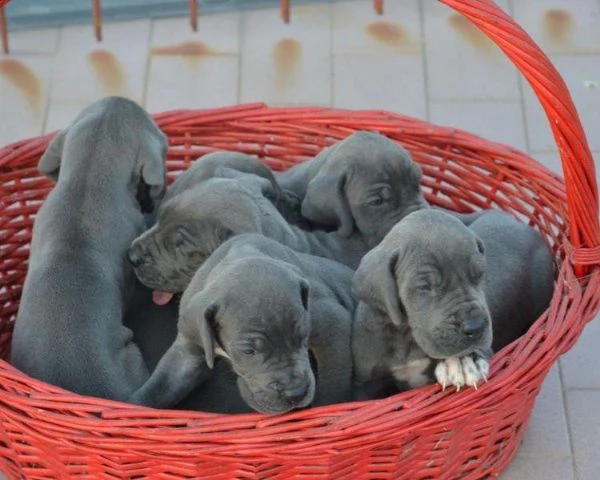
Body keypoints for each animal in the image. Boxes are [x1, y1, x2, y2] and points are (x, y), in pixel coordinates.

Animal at [352, 208, 552, 400]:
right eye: (425, 286)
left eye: (480, 274)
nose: (476, 326)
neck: (407, 337)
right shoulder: (366, 385)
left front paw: (464, 361)